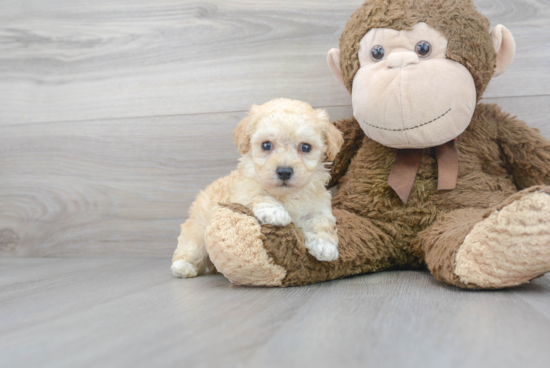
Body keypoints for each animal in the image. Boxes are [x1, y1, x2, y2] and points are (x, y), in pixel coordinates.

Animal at [172, 99, 344, 278]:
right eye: (266, 145)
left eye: (305, 147)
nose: (284, 171)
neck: (285, 194)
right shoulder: (242, 191)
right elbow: (258, 194)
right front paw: (275, 213)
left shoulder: (318, 204)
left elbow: (321, 221)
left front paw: (325, 246)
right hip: (197, 231)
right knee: (191, 249)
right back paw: (183, 267)